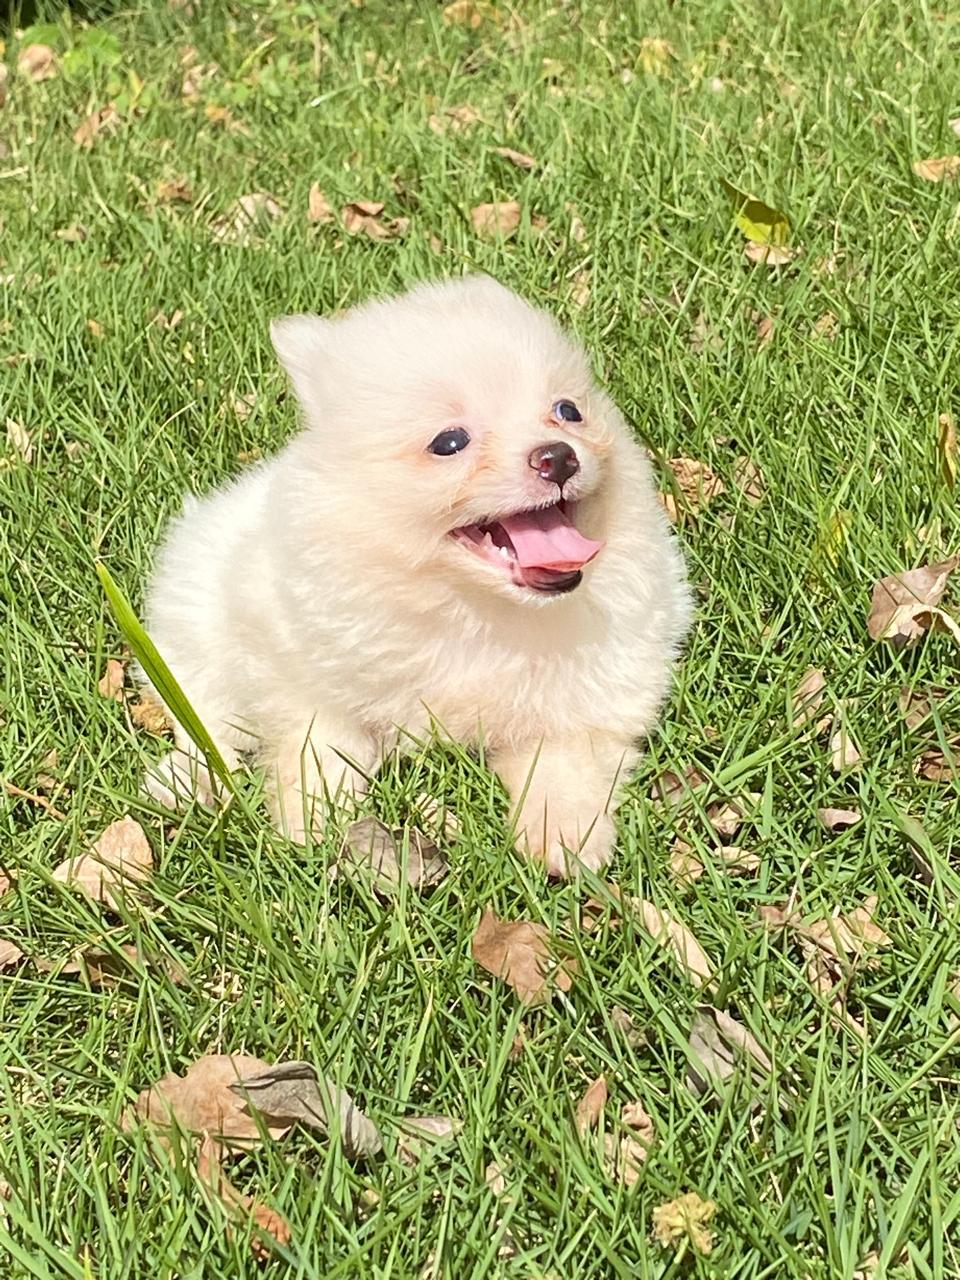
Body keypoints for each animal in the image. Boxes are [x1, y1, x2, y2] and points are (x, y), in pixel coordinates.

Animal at [140, 277, 691, 880]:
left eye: (567, 411)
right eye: (449, 442)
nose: (559, 457)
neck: (468, 606)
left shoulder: (600, 685)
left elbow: (565, 759)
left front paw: (563, 834)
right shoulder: (302, 662)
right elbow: (320, 740)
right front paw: (309, 815)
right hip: (192, 608)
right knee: (202, 711)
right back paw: (182, 780)